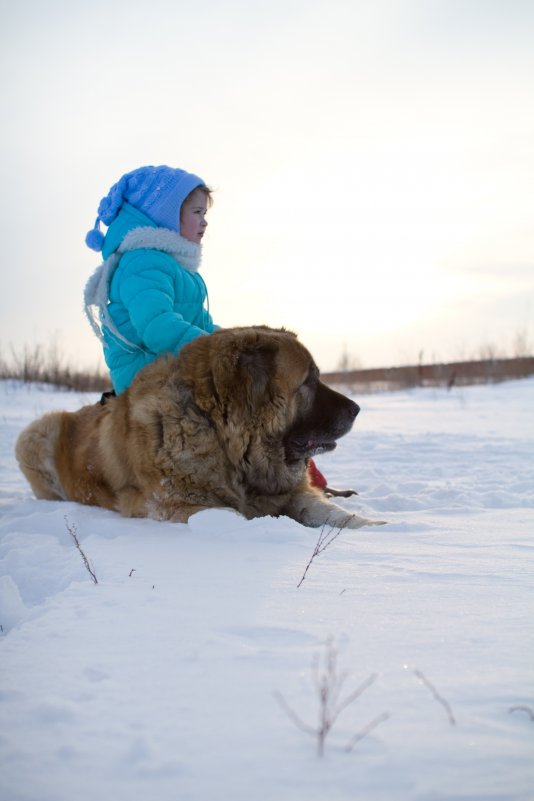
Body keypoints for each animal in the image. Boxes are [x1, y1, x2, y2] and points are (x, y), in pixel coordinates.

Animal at [14, 328, 384, 528]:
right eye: (309, 381)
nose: (356, 409)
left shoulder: (292, 492)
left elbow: (333, 513)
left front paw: (376, 527)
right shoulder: (173, 505)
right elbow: (237, 516)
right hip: (37, 431)